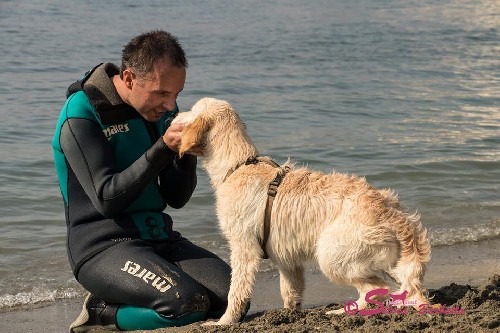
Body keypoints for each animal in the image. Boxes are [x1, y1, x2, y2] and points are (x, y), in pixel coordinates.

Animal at [172, 96, 430, 324]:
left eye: (191, 110)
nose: (173, 115)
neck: (238, 166)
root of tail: (392, 213)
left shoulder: (243, 248)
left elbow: (236, 292)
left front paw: (223, 322)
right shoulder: (287, 258)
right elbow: (290, 291)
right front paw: (289, 314)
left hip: (332, 254)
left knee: (379, 288)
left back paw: (343, 312)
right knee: (399, 287)